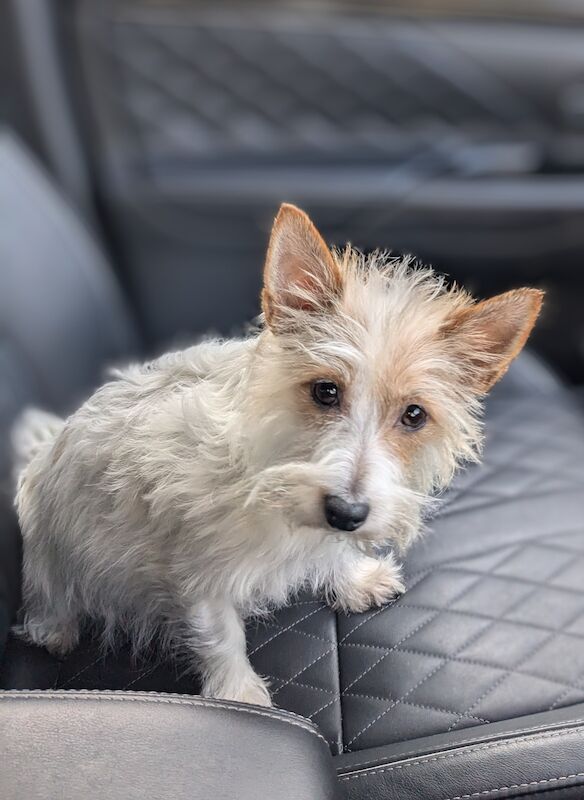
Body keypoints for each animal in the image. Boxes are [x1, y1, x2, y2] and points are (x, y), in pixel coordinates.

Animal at [12, 205, 544, 708]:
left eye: (414, 415)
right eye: (325, 391)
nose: (346, 513)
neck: (270, 479)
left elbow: (332, 552)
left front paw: (354, 578)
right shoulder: (197, 572)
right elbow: (219, 635)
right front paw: (238, 694)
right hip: (51, 549)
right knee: (49, 590)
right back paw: (54, 627)